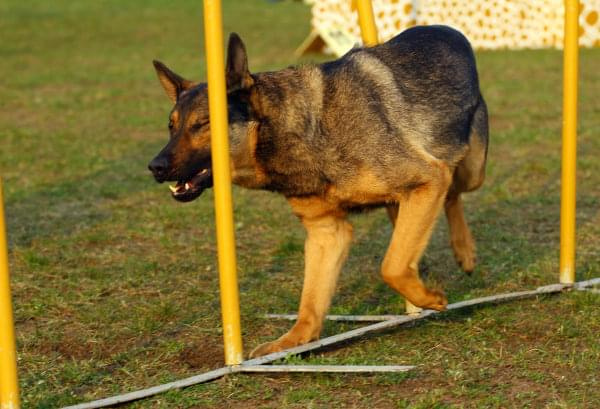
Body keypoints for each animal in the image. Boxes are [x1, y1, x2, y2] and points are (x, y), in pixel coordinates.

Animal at [149, 25, 488, 356]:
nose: (155, 166)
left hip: (470, 169)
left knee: (452, 192)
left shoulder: (428, 179)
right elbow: (311, 301)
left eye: (204, 123)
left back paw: (465, 251)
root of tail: (450, 31)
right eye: (171, 126)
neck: (300, 129)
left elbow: (391, 266)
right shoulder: (327, 232)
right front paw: (294, 341)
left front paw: (430, 299)